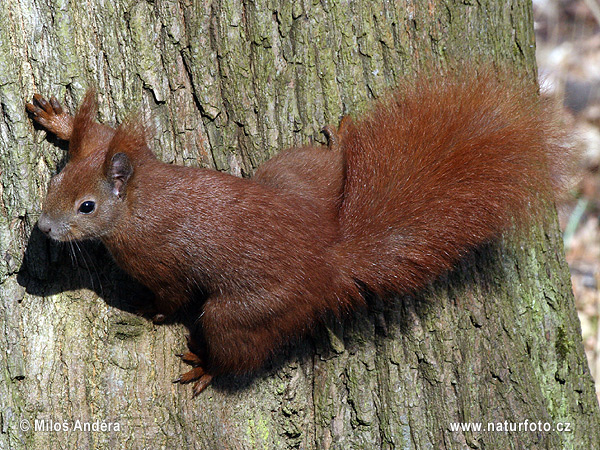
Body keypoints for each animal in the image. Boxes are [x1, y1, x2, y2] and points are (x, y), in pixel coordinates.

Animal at [26, 70, 566, 396]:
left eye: (87, 206)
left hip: (248, 311)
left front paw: (150, 312)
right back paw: (344, 140)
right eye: (53, 181)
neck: (140, 198)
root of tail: (323, 258)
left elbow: (171, 297)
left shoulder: (158, 261)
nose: (45, 227)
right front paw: (59, 120)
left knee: (238, 348)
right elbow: (97, 134)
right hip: (290, 176)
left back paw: (209, 366)